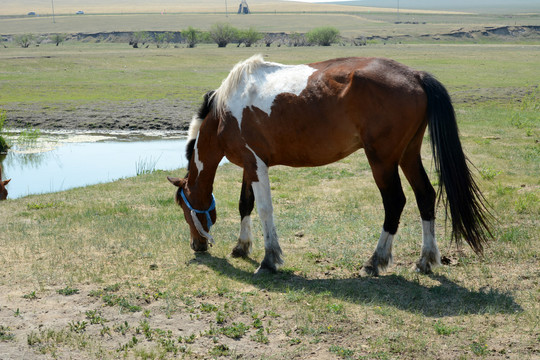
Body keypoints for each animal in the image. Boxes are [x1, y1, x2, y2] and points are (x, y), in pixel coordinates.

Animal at [169, 54, 494, 276]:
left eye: (184, 208)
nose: (197, 246)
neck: (225, 113)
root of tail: (415, 75)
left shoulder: (257, 166)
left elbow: (264, 210)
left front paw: (269, 259)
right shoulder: (251, 167)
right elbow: (244, 205)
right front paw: (241, 247)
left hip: (383, 161)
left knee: (395, 202)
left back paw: (375, 261)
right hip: (408, 155)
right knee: (425, 196)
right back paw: (425, 260)